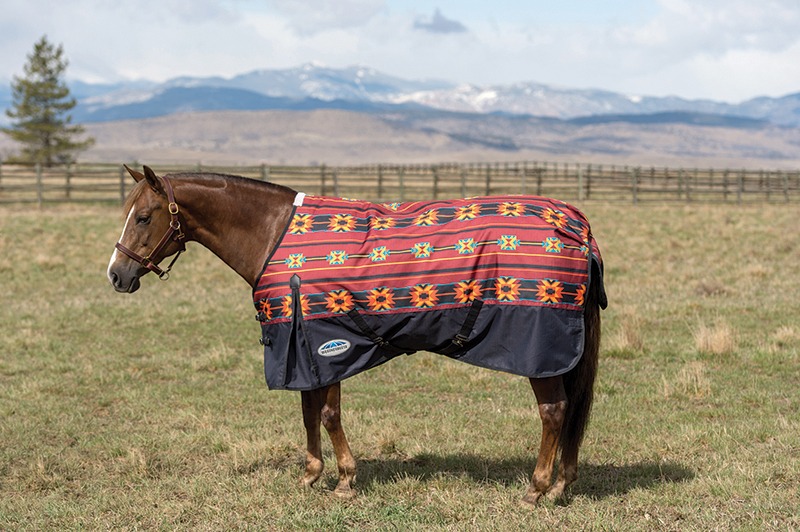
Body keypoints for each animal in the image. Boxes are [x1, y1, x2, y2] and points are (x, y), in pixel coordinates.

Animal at [107, 165, 606, 506]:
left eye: (145, 217)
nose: (116, 275)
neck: (274, 235)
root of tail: (578, 228)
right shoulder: (303, 347)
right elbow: (308, 411)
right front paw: (312, 474)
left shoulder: (328, 343)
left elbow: (327, 414)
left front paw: (345, 479)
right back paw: (561, 485)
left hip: (541, 352)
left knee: (555, 412)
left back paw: (537, 489)